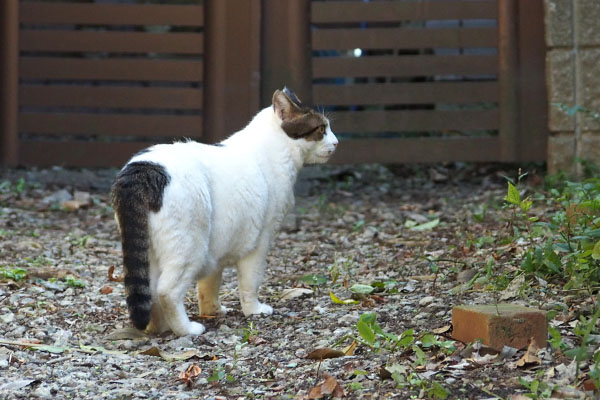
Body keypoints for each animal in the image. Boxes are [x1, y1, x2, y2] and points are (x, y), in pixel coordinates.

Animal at [112, 87, 338, 334]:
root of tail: (143, 169)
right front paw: (254, 310)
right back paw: (187, 329)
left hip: (151, 252)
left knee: (150, 290)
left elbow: (210, 283)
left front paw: (213, 311)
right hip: (189, 247)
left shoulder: (218, 246)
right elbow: (250, 282)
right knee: (166, 291)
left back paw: (157, 327)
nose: (336, 142)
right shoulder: (260, 242)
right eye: (321, 129)